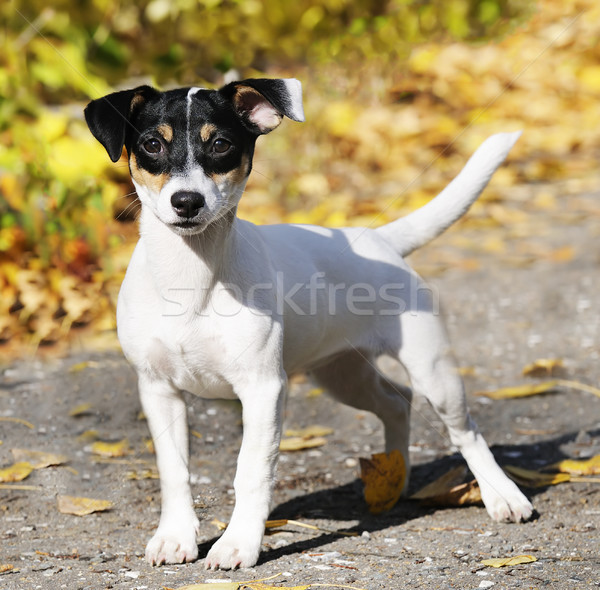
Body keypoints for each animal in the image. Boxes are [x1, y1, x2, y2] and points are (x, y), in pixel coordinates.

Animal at [83, 80, 528, 572]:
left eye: (221, 145)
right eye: (151, 145)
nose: (187, 202)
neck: (192, 277)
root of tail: (380, 239)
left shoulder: (263, 390)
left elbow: (251, 471)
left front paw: (238, 544)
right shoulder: (158, 390)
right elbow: (174, 470)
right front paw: (175, 537)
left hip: (434, 372)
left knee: (466, 432)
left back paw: (503, 496)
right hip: (341, 374)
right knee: (397, 402)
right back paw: (394, 480)